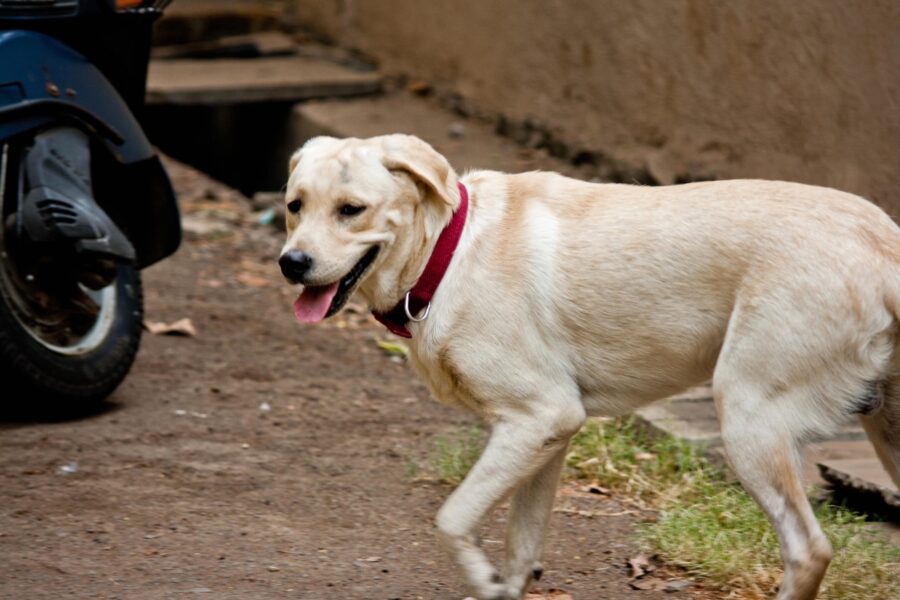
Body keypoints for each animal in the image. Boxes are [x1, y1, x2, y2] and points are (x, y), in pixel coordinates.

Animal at [278, 135, 896, 600]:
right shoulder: (547, 435)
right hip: (883, 433)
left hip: (748, 420)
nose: (291, 263)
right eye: (294, 206)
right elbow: (521, 547)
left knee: (809, 549)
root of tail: (885, 245)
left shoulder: (538, 418)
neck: (448, 254)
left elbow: (451, 518)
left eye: (351, 210)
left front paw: (478, 576)